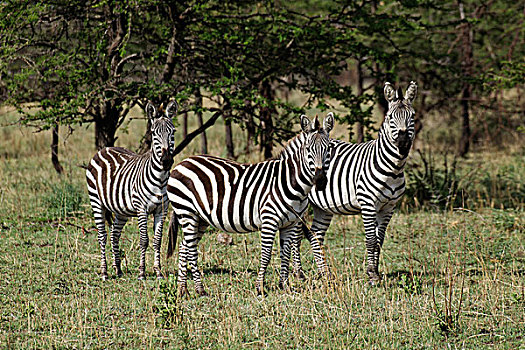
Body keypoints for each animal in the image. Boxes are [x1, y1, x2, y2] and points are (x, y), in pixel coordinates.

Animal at [85, 101, 177, 278]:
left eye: (173, 132)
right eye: (154, 133)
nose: (166, 161)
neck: (160, 178)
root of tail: (104, 149)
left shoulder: (162, 209)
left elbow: (157, 240)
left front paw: (158, 271)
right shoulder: (142, 208)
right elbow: (144, 240)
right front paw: (142, 272)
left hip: (121, 210)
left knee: (114, 234)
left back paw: (118, 269)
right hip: (96, 202)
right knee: (102, 236)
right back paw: (104, 271)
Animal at [166, 114, 334, 296]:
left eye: (328, 149)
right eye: (308, 149)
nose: (320, 180)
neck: (290, 181)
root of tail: (183, 162)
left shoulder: (290, 223)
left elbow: (285, 253)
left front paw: (285, 286)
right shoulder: (269, 220)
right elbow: (266, 254)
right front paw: (260, 287)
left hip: (200, 218)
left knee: (184, 246)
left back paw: (183, 289)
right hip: (187, 212)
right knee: (190, 248)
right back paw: (200, 289)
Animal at [296, 81, 416, 284]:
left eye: (412, 116)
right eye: (390, 117)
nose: (402, 142)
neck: (393, 168)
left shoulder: (389, 206)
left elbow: (379, 240)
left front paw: (376, 271)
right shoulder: (368, 203)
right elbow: (370, 239)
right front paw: (371, 274)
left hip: (323, 207)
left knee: (316, 235)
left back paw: (323, 273)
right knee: (295, 237)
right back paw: (299, 273)